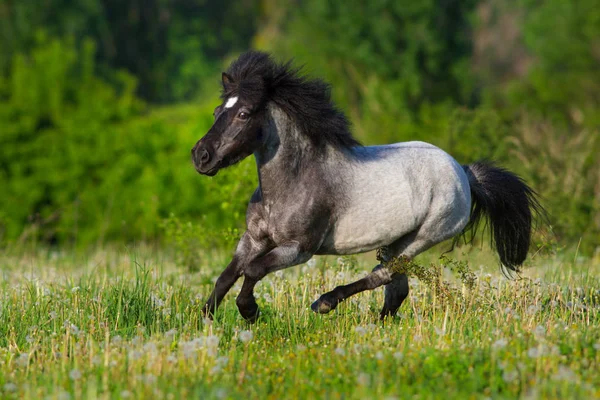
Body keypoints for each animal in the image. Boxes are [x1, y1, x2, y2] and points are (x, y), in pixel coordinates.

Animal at [192, 51, 544, 324]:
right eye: (217, 111)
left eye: (243, 113)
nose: (201, 156)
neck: (293, 182)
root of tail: (464, 172)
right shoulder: (253, 239)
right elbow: (228, 274)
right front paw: (204, 319)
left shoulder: (298, 249)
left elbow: (253, 271)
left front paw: (250, 311)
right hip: (398, 239)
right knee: (396, 288)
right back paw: (378, 326)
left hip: (424, 237)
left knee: (383, 275)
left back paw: (325, 303)